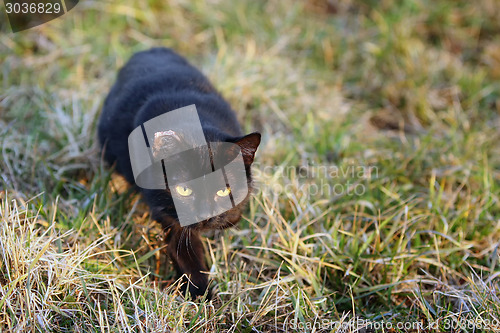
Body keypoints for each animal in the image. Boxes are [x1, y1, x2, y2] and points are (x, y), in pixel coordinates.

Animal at [98, 47, 262, 298]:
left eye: (224, 191)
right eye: (184, 191)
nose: (205, 215)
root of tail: (149, 50)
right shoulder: (169, 215)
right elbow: (186, 255)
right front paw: (203, 296)